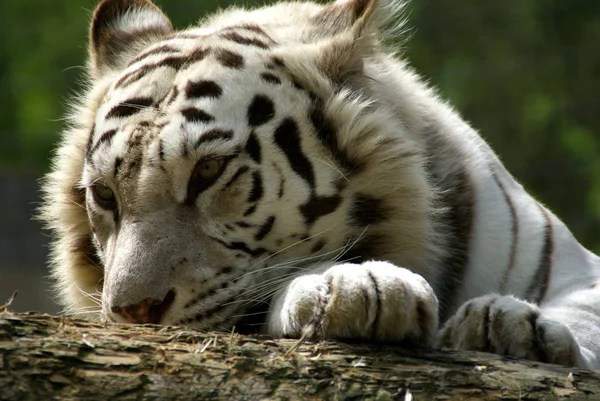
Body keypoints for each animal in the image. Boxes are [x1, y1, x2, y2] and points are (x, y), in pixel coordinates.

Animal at [41, 0, 600, 368]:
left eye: (208, 172)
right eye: (105, 194)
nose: (133, 312)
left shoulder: (571, 263)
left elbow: (584, 314)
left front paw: (511, 325)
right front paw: (360, 288)